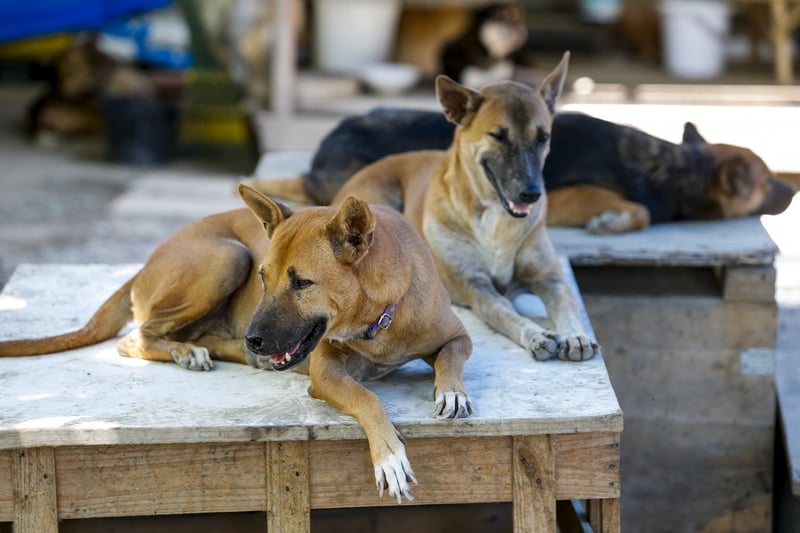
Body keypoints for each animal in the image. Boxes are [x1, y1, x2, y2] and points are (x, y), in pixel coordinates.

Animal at [0, 184, 472, 502]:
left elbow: (451, 358)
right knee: (137, 337)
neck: (378, 315)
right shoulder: (324, 371)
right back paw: (189, 351)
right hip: (227, 256)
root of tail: (144, 264)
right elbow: (367, 398)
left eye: (302, 283)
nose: (255, 339)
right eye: (264, 277)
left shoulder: (458, 335)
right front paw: (389, 456)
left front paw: (451, 392)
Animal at [332, 51, 600, 362]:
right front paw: (535, 334)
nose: (531, 193)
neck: (494, 215)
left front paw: (575, 334)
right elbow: (507, 313)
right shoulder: (477, 287)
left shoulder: (550, 278)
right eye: (498, 136)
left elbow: (566, 303)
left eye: (542, 137)